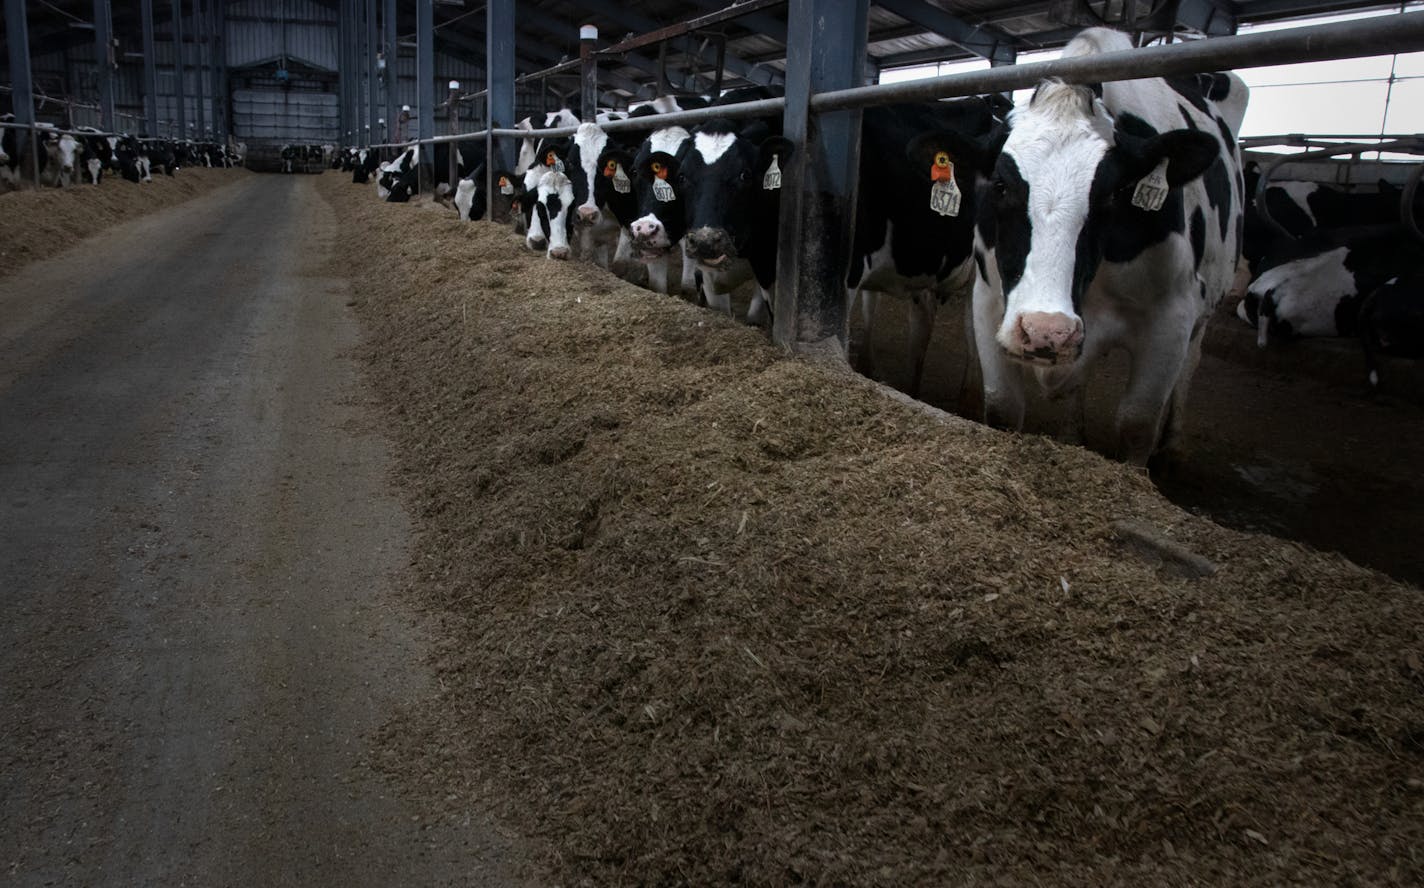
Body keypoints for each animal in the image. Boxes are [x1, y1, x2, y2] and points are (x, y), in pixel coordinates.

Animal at [968, 29, 1247, 463]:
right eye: (1000, 184)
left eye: (1113, 193)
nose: (1047, 331)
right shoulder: (987, 300)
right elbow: (1002, 407)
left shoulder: (1172, 315)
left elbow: (1136, 425)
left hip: (1204, 309)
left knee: (1191, 364)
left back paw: (1172, 443)